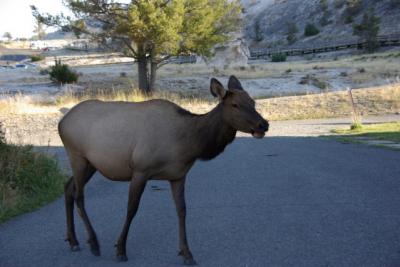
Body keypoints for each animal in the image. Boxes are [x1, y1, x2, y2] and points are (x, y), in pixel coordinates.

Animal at [59, 76, 268, 266]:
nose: (263, 124)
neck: (189, 144)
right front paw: (120, 249)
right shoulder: (140, 169)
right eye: (235, 105)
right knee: (79, 195)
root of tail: (61, 122)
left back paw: (73, 241)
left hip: (91, 164)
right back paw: (93, 243)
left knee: (68, 187)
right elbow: (131, 209)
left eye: (253, 102)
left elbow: (182, 210)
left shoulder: (178, 175)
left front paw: (187, 253)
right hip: (77, 155)